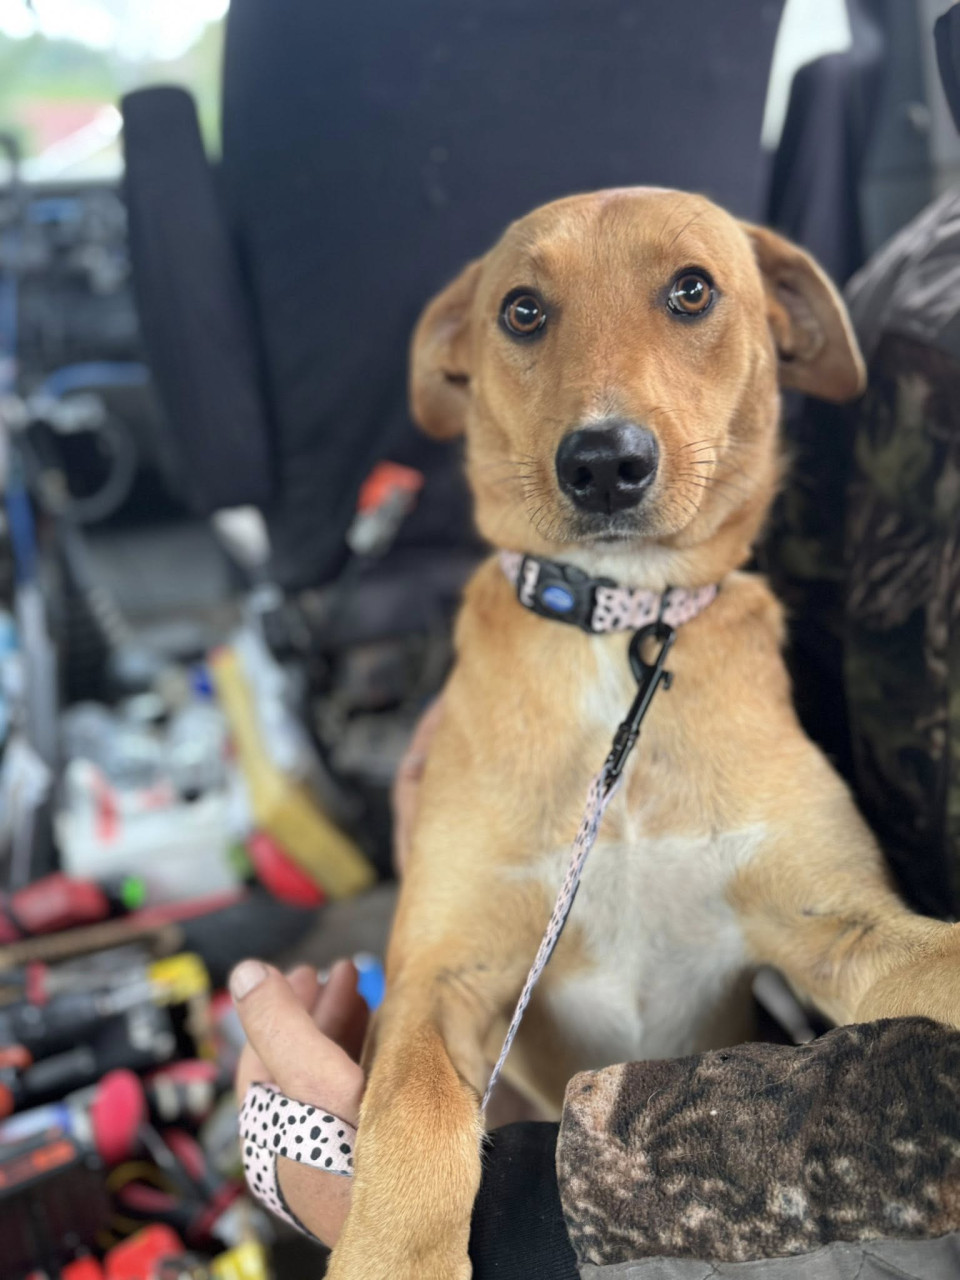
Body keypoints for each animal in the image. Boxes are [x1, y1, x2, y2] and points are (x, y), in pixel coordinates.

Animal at [325, 188, 960, 1279]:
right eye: (523, 310)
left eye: (692, 290)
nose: (603, 462)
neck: (620, 633)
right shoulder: (439, 974)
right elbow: (412, 1104)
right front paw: (391, 1257)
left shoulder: (841, 930)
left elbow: (945, 959)